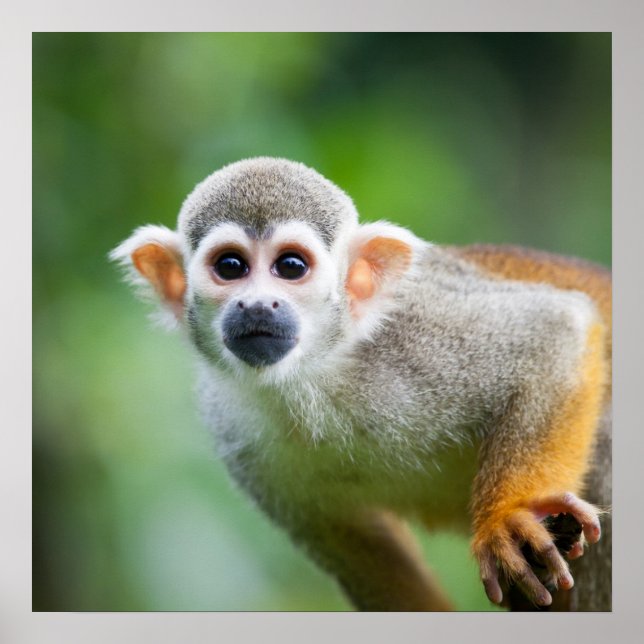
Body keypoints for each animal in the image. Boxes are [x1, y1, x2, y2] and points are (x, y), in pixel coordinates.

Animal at [111, 157, 611, 611]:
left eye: (290, 266)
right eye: (230, 266)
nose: (256, 306)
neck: (314, 375)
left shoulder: (420, 334)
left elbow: (555, 328)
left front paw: (508, 518)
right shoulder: (234, 429)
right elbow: (361, 549)